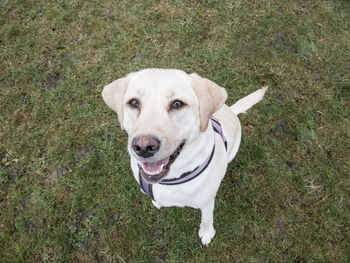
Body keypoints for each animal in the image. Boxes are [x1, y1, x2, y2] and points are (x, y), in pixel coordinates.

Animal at [101, 69, 268, 246]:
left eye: (177, 104)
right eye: (133, 102)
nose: (144, 147)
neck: (172, 178)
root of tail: (230, 110)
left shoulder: (207, 202)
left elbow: (207, 219)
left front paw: (206, 233)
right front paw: (156, 202)